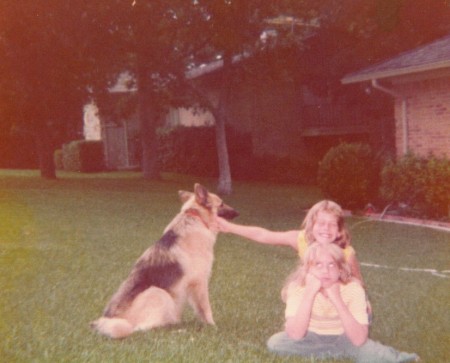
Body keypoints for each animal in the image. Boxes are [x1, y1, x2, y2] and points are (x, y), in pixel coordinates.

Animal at [91, 183, 239, 340]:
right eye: (221, 203)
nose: (238, 213)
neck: (196, 217)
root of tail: (109, 320)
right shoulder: (200, 283)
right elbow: (206, 309)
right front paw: (212, 326)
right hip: (159, 293)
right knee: (141, 330)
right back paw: (178, 330)